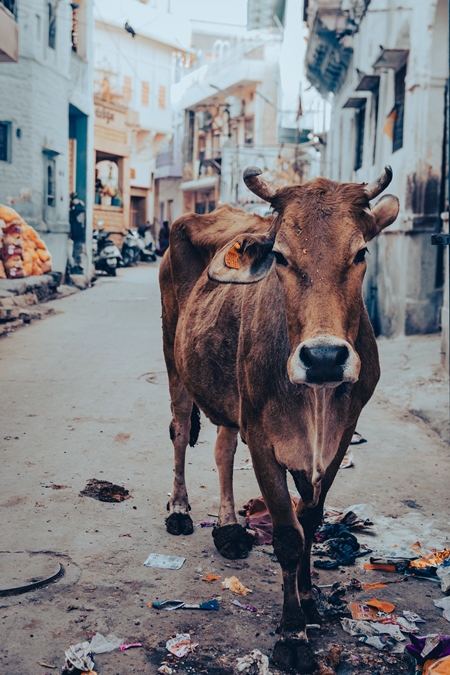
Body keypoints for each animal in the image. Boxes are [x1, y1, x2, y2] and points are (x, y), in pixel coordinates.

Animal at [160, 168, 400, 672]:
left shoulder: (338, 441)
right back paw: (180, 510)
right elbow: (289, 536)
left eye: (360, 252)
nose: (324, 357)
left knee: (222, 448)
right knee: (179, 430)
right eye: (281, 257)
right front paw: (292, 635)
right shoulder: (262, 440)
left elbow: (310, 522)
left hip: (227, 391)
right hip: (175, 356)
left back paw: (230, 527)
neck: (316, 399)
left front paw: (308, 602)